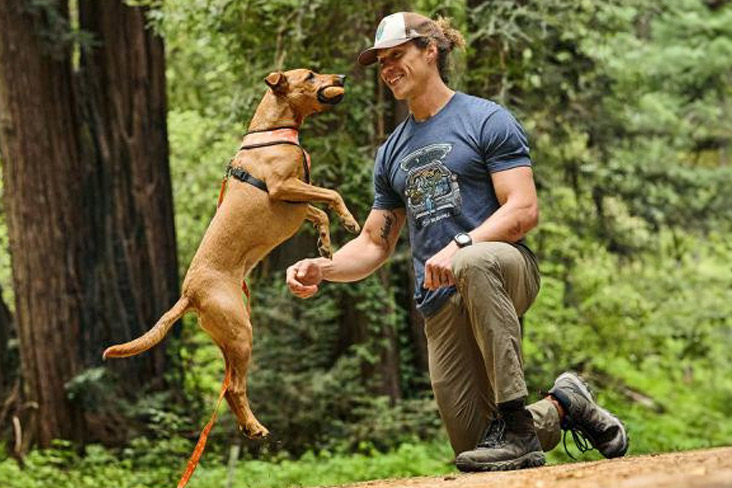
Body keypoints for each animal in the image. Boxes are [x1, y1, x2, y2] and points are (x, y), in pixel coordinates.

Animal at [102, 68, 360, 438]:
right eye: (310, 75)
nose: (340, 75)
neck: (271, 132)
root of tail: (189, 294)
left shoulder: (297, 203)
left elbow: (319, 212)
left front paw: (325, 241)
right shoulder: (284, 187)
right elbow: (332, 194)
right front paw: (349, 220)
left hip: (228, 340)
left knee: (228, 388)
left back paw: (250, 426)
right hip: (241, 333)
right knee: (236, 388)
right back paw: (254, 426)